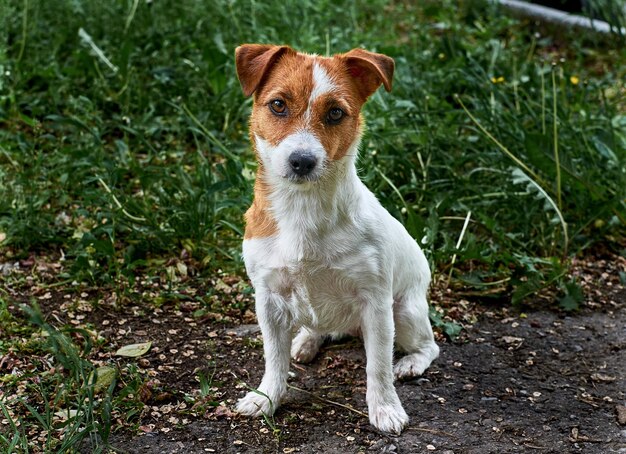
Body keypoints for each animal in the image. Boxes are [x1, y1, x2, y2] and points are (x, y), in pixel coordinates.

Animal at [232, 44, 436, 434]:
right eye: (278, 105)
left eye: (336, 112)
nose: (302, 161)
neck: (303, 209)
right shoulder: (267, 298)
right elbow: (273, 359)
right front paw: (266, 398)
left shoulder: (376, 304)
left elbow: (377, 366)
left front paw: (385, 409)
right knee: (319, 327)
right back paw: (306, 340)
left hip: (404, 312)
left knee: (429, 346)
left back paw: (411, 363)